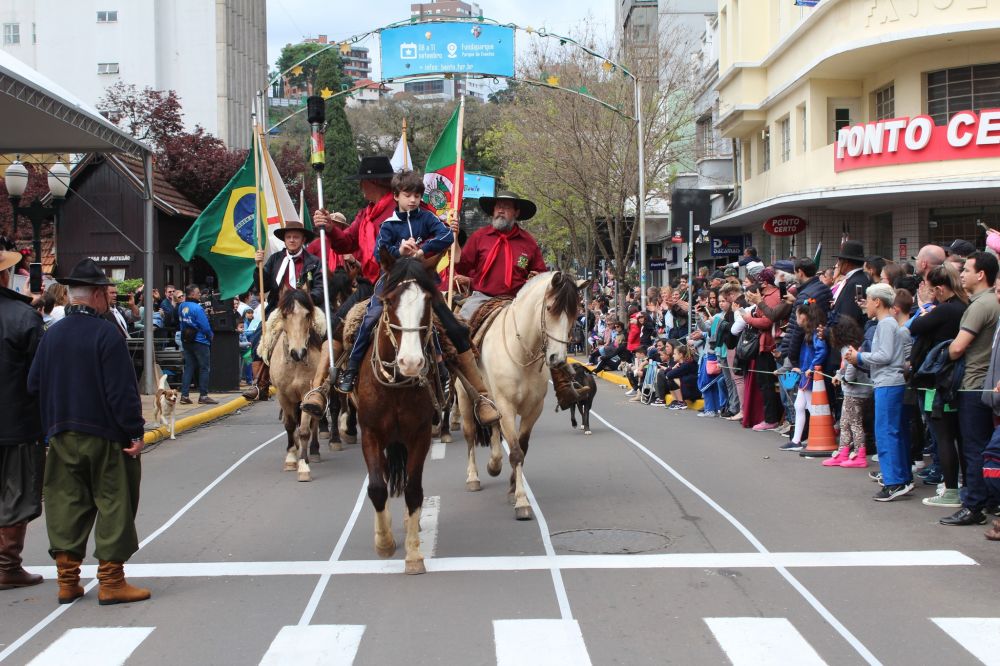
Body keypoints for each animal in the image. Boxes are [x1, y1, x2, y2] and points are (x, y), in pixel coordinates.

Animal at [266, 288, 324, 480]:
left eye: (307, 314)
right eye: (284, 315)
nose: (298, 353)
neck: (296, 365)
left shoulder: (307, 393)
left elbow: (305, 429)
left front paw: (303, 466)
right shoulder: (282, 394)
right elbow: (290, 425)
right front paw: (291, 458)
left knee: (314, 422)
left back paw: (314, 451)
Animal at [358, 252, 440, 572]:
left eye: (428, 301)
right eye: (390, 301)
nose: (411, 362)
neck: (395, 386)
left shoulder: (420, 434)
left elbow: (414, 489)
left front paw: (414, 554)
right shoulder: (369, 433)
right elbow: (377, 488)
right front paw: (384, 543)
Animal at [456, 270, 584, 520]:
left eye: (575, 312)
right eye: (550, 308)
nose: (558, 359)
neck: (522, 353)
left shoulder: (534, 409)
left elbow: (522, 448)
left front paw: (513, 489)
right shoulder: (506, 405)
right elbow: (515, 452)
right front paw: (522, 502)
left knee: (493, 426)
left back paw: (494, 464)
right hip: (465, 396)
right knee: (469, 434)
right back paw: (473, 477)